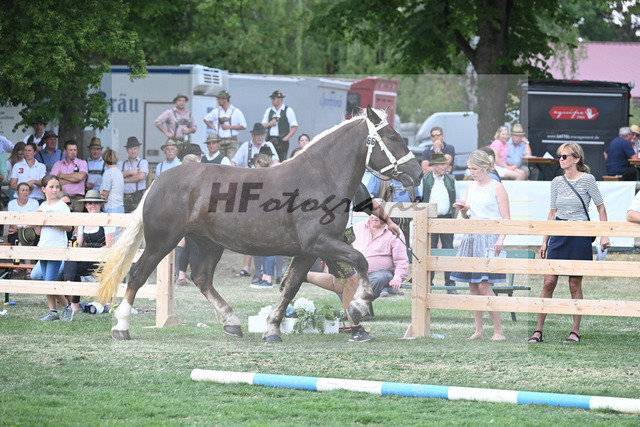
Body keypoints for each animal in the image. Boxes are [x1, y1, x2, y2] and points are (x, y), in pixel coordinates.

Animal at [96, 106, 423, 342]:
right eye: (392, 137)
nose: (417, 173)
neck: (320, 176)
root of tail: (160, 179)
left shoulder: (308, 251)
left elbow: (290, 287)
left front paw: (273, 330)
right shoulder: (320, 243)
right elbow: (361, 260)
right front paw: (358, 305)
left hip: (209, 243)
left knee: (202, 278)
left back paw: (231, 322)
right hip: (162, 240)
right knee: (137, 274)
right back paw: (121, 327)